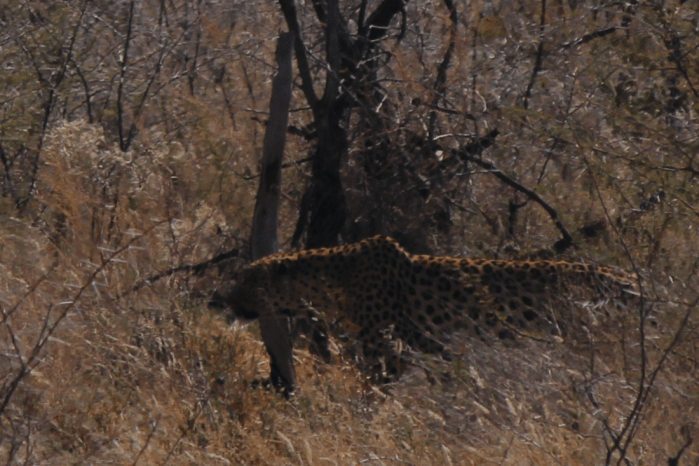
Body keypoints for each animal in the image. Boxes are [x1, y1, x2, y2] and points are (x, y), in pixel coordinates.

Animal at [222, 235, 636, 395]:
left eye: (246, 279)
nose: (222, 298)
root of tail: (631, 277)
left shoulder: (385, 353)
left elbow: (371, 395)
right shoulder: (429, 351)